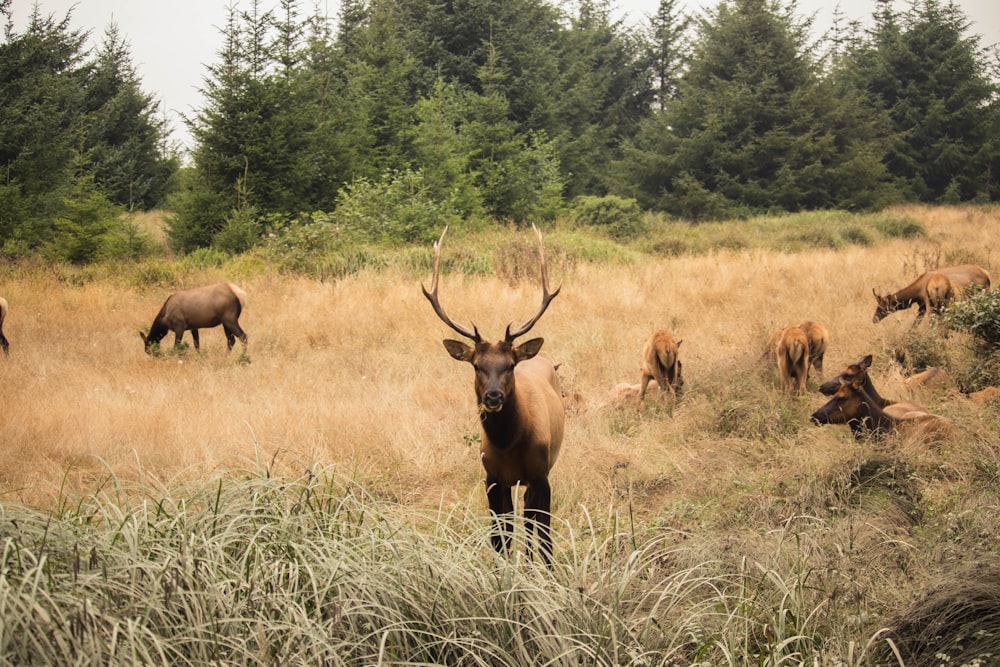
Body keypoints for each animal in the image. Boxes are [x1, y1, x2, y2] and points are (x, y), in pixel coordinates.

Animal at [420, 224, 564, 564]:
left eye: (510, 365)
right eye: (476, 366)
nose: (494, 397)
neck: (510, 445)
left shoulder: (541, 473)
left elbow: (545, 538)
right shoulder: (492, 477)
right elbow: (500, 538)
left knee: (532, 522)